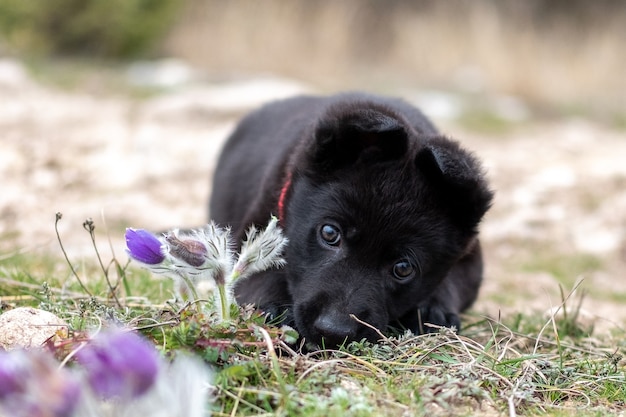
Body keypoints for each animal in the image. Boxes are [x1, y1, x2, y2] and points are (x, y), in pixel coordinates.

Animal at [210, 92, 492, 348]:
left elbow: (454, 283)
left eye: (403, 268)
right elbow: (260, 273)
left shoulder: (470, 258)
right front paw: (276, 309)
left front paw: (433, 310)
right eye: (329, 233)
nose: (333, 332)